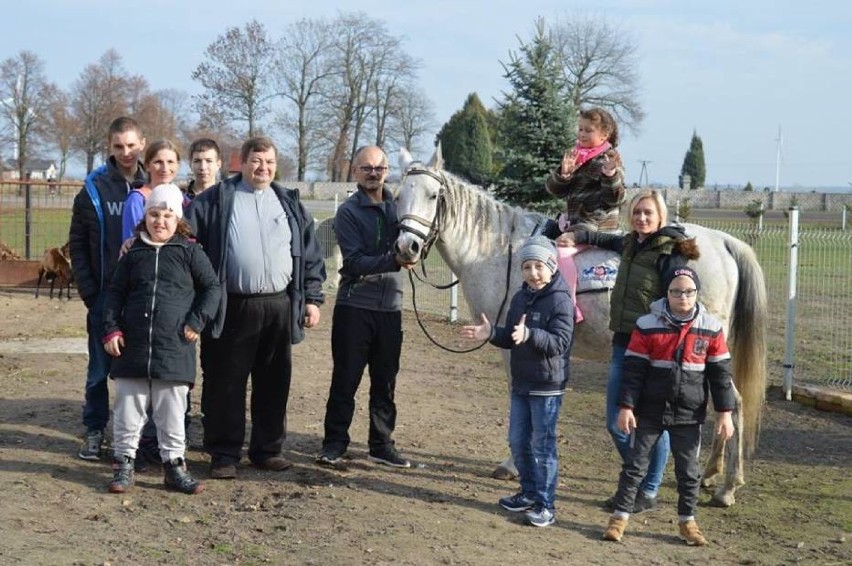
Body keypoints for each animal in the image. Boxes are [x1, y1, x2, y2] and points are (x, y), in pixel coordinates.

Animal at [396, 149, 768, 508]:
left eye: (433, 195)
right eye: (397, 195)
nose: (405, 247)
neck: (499, 253)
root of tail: (722, 242)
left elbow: (522, 396)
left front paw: (514, 464)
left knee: (733, 404)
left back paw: (727, 488)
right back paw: (710, 475)